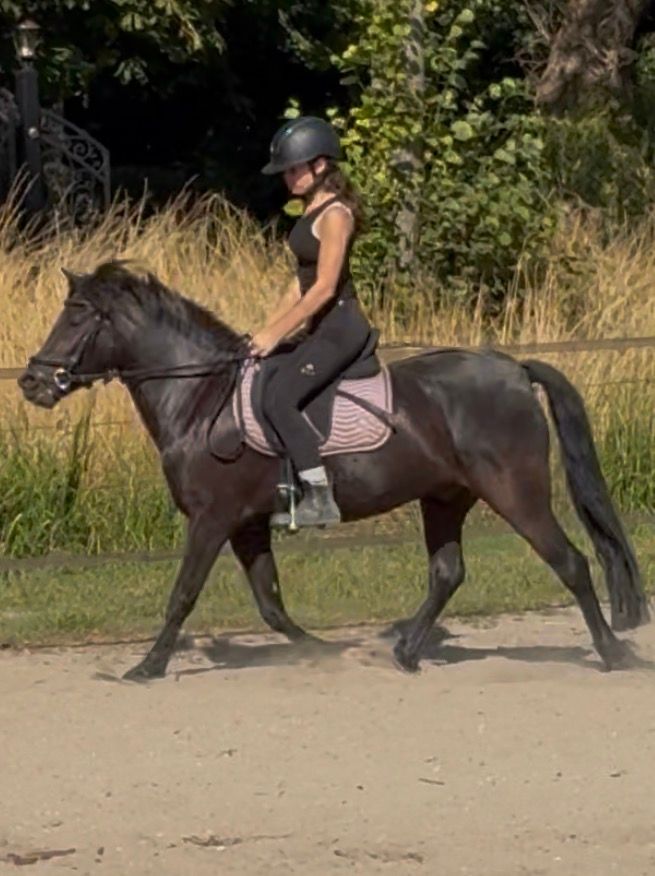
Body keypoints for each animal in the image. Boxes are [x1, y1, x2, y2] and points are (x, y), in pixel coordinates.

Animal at [18, 262, 649, 680]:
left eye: (78, 318)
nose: (32, 382)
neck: (200, 399)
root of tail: (513, 369)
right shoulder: (247, 523)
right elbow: (271, 604)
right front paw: (318, 650)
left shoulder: (212, 518)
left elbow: (183, 594)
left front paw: (147, 666)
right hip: (446, 497)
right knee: (447, 573)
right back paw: (406, 653)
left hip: (516, 492)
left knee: (570, 562)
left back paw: (613, 653)